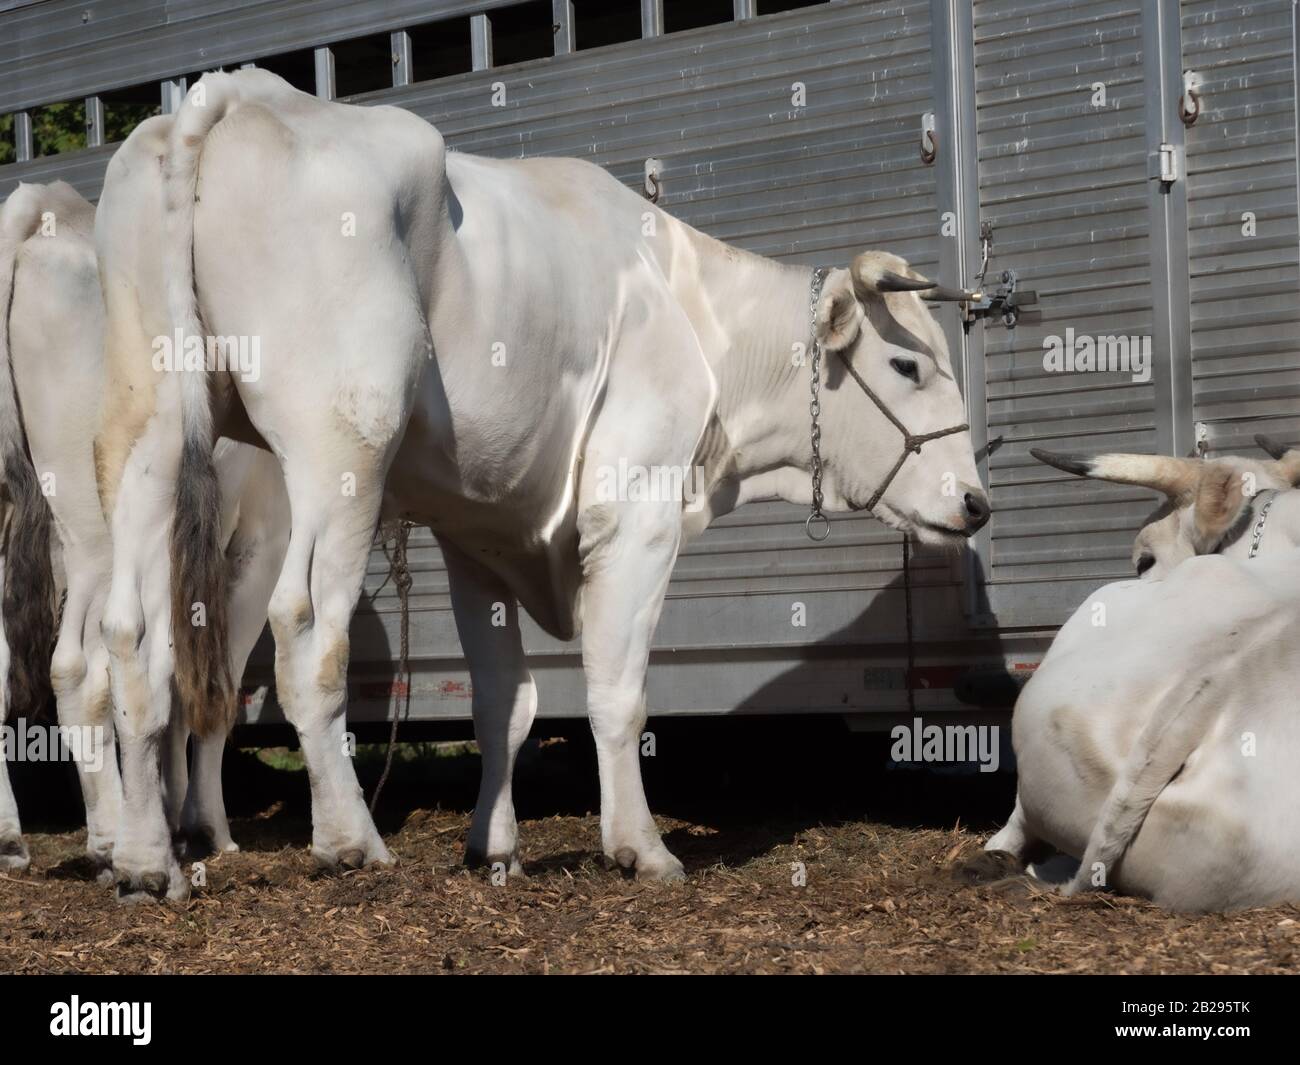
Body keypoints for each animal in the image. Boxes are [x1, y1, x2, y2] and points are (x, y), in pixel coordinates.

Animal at [0, 181, 289, 882]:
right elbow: (205, 690)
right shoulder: (257, 545)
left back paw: (19, 836)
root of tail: (38, 206)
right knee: (81, 667)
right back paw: (111, 838)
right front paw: (206, 826)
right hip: (93, 526)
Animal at [94, 69, 989, 899]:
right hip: (339, 448)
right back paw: (350, 839)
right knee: (307, 627)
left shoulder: (476, 535)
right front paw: (640, 847)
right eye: (907, 365)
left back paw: (143, 860)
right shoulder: (637, 513)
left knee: (131, 635)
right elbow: (618, 693)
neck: (697, 316)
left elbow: (507, 703)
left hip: (149, 439)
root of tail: (243, 93)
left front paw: (494, 847)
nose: (976, 502)